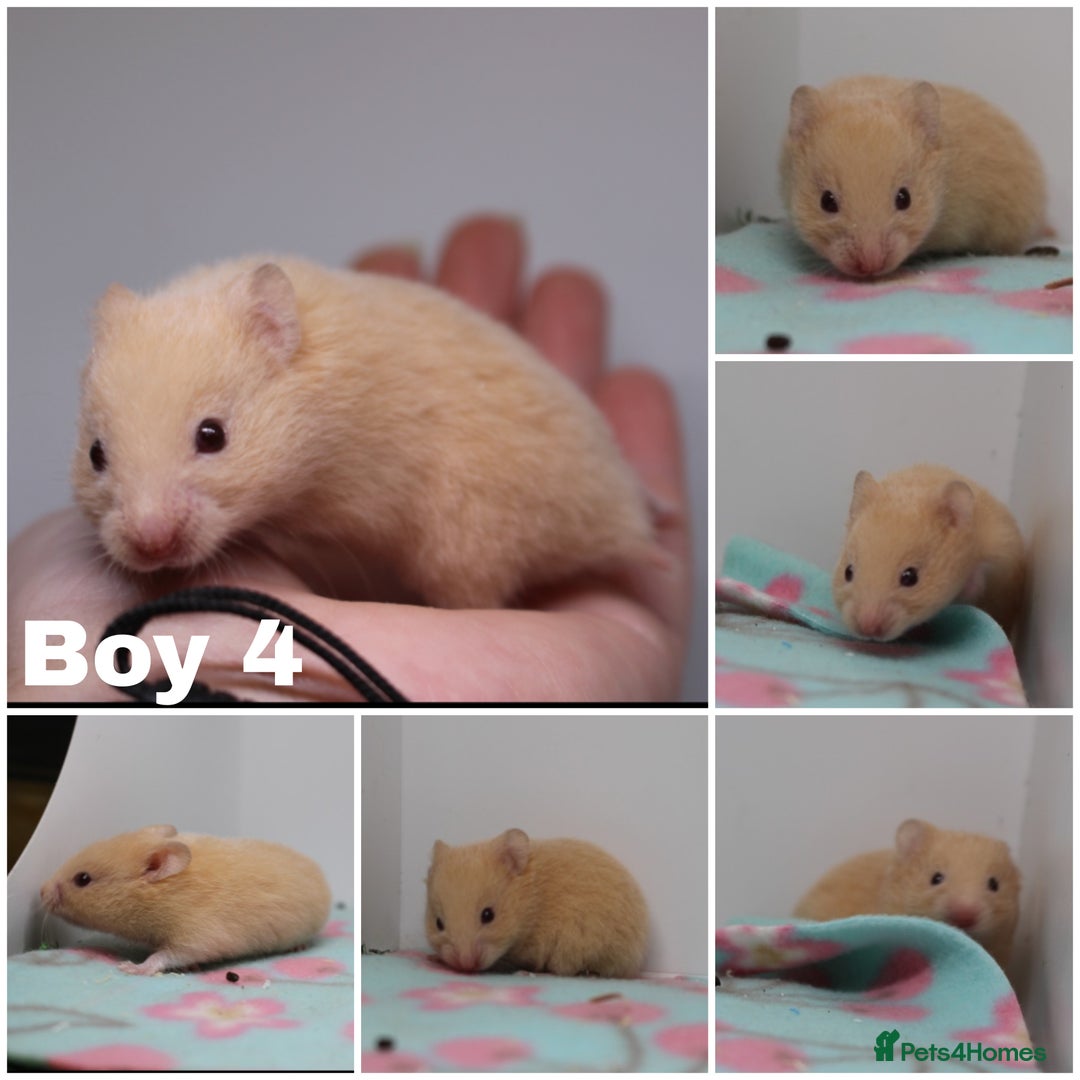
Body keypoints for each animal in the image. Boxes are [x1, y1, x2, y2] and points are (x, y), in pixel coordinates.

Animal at [39, 824, 331, 975]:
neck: (164, 894)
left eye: (83, 879)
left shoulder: (196, 936)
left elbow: (164, 956)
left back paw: (298, 947)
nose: (40, 892)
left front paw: (130, 967)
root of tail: (324, 881)